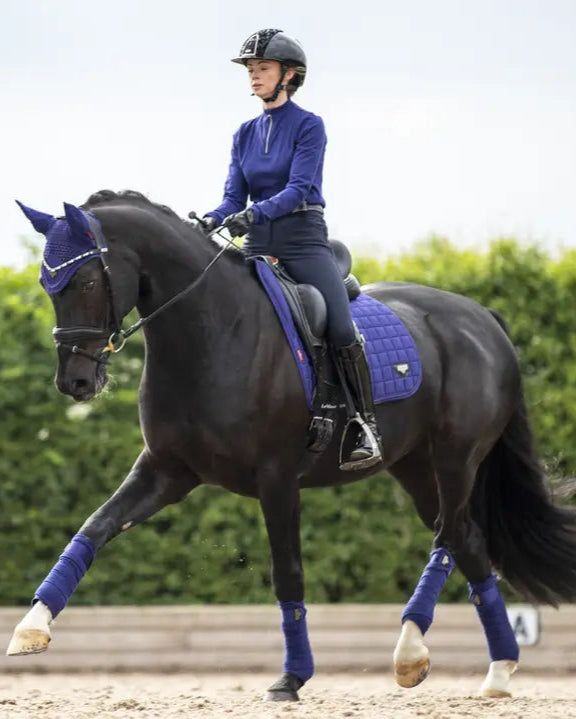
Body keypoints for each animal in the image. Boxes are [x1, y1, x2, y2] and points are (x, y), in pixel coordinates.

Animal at [9, 190, 576, 701]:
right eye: (45, 283)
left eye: (85, 280)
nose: (75, 383)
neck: (213, 330)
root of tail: (482, 317)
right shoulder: (166, 472)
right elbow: (94, 527)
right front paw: (32, 626)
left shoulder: (277, 480)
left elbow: (288, 575)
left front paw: (292, 677)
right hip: (417, 468)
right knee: (468, 543)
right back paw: (492, 670)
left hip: (457, 459)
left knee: (451, 534)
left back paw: (415, 651)